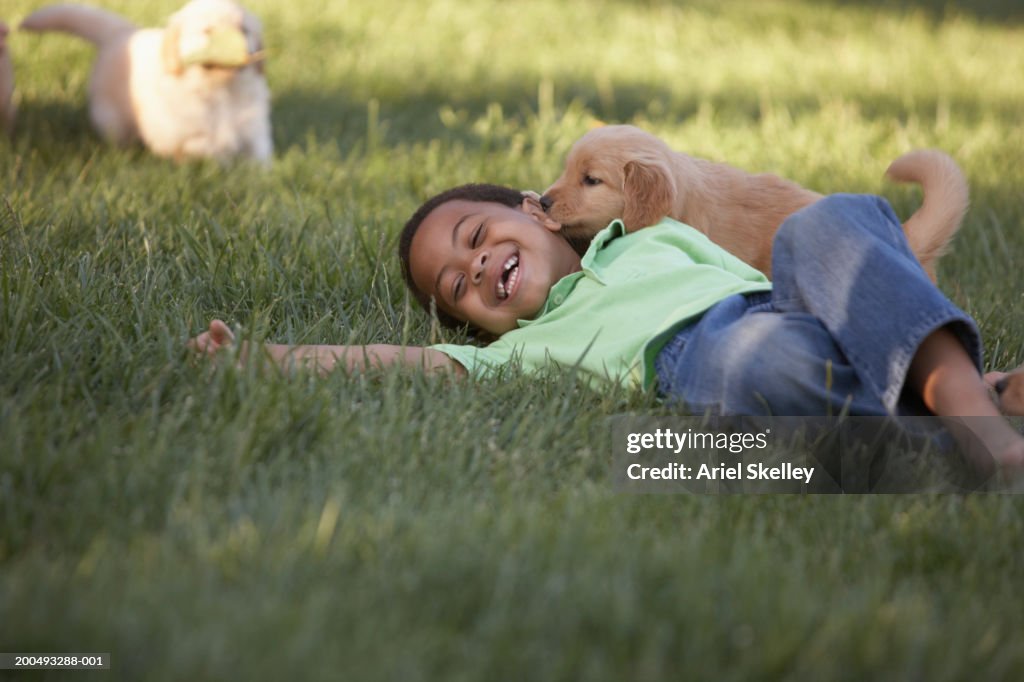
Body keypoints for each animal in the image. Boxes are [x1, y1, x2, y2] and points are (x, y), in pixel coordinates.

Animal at [24, 0, 272, 163]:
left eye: (244, 30)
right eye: (207, 31)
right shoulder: (173, 135)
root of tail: (123, 33)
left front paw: (260, 172)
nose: (240, 46)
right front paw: (222, 156)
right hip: (112, 118)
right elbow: (200, 145)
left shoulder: (255, 127)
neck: (220, 91)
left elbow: (259, 154)